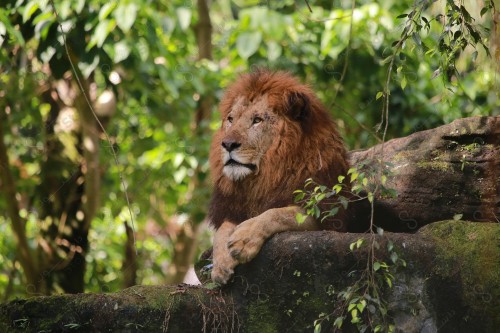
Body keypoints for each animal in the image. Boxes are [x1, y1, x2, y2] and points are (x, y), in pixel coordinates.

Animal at [207, 69, 348, 282]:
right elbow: (223, 228)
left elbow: (276, 213)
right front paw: (221, 263)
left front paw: (244, 239)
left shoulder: (324, 216)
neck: (267, 175)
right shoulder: (235, 208)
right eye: (231, 119)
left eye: (257, 120)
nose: (227, 144)